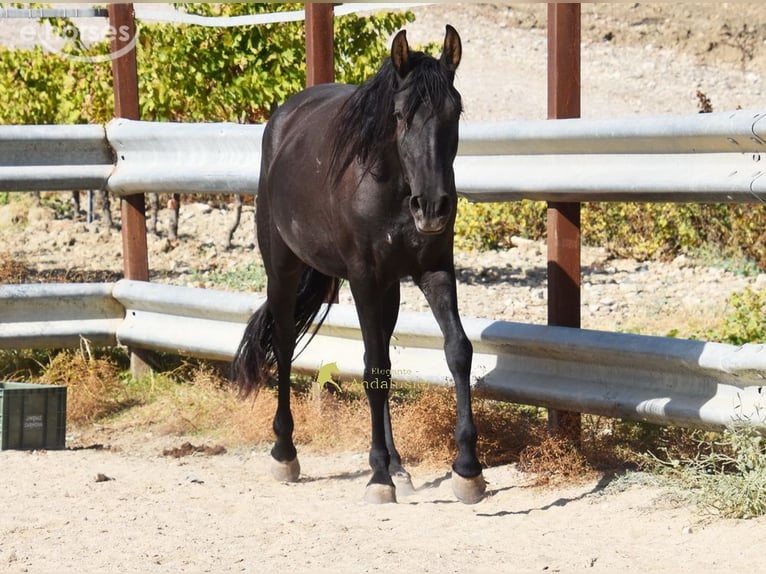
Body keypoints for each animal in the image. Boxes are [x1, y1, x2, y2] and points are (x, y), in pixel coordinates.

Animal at [233, 25, 486, 504]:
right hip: (284, 271)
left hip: (390, 289)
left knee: (379, 350)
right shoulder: (364, 278)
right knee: (287, 346)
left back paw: (400, 466)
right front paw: (378, 477)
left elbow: (456, 350)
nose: (433, 207)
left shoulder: (434, 271)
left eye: (457, 111)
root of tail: (283, 120)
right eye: (401, 115)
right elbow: (373, 370)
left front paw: (467, 469)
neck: (391, 187)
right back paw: (285, 452)